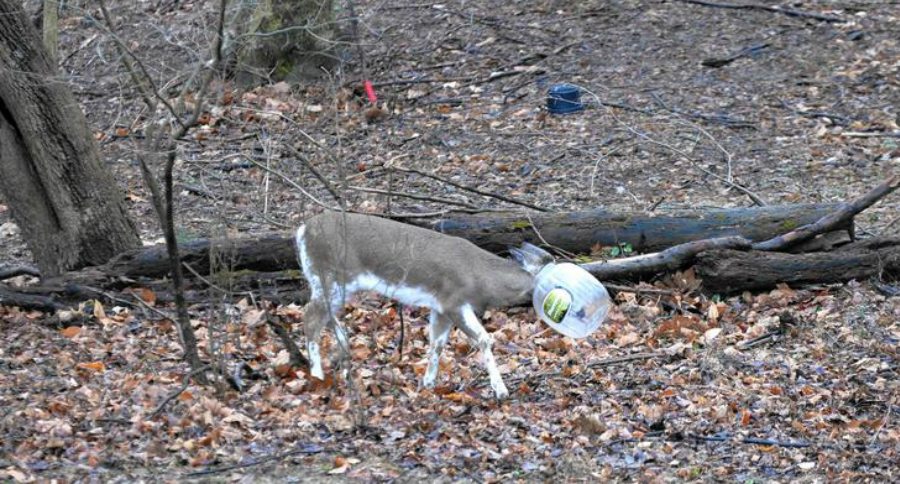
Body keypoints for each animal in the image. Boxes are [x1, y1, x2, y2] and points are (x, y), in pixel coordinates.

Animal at [296, 210, 552, 398]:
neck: (480, 279)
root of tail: (302, 231)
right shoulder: (453, 300)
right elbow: (483, 339)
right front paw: (501, 390)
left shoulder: (440, 307)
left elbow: (436, 343)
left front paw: (427, 383)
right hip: (328, 276)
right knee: (310, 317)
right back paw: (317, 375)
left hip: (335, 285)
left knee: (324, 316)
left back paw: (342, 353)